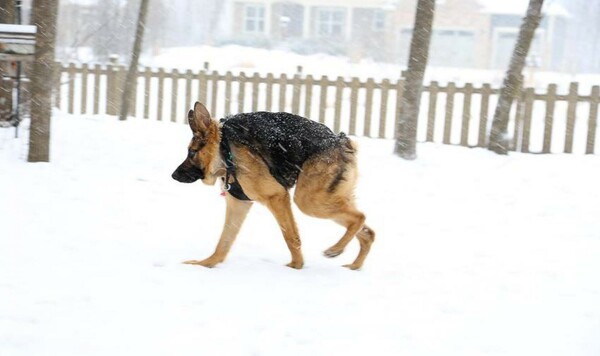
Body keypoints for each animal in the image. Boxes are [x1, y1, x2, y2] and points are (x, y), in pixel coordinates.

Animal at [170, 103, 376, 270]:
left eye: (192, 152)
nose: (173, 175)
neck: (225, 150)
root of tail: (341, 140)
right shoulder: (239, 204)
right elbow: (224, 241)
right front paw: (206, 263)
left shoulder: (276, 197)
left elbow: (291, 236)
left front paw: (296, 266)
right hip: (325, 199)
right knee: (368, 232)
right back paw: (354, 265)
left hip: (308, 201)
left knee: (359, 217)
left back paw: (335, 249)